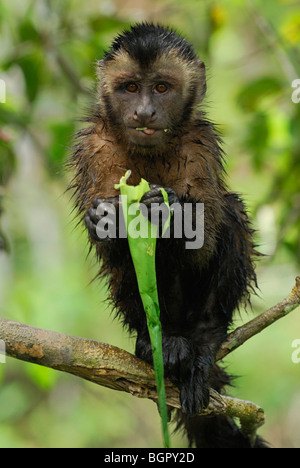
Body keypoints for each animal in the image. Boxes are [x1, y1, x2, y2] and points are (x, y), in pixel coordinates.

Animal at [69, 22, 268, 450]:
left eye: (161, 87)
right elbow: (112, 249)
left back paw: (202, 344)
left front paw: (168, 213)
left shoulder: (200, 144)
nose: (144, 111)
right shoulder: (94, 145)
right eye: (130, 88)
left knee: (231, 212)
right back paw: (154, 342)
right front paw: (105, 219)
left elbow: (204, 240)